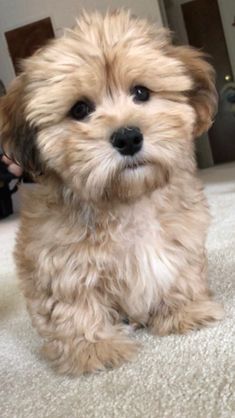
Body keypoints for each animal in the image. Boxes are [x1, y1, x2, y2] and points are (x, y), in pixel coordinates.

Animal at [0, 10, 223, 376]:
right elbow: (73, 306)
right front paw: (93, 348)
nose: (128, 137)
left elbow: (180, 274)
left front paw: (184, 311)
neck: (126, 199)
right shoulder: (61, 262)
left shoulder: (180, 237)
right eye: (79, 110)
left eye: (141, 92)